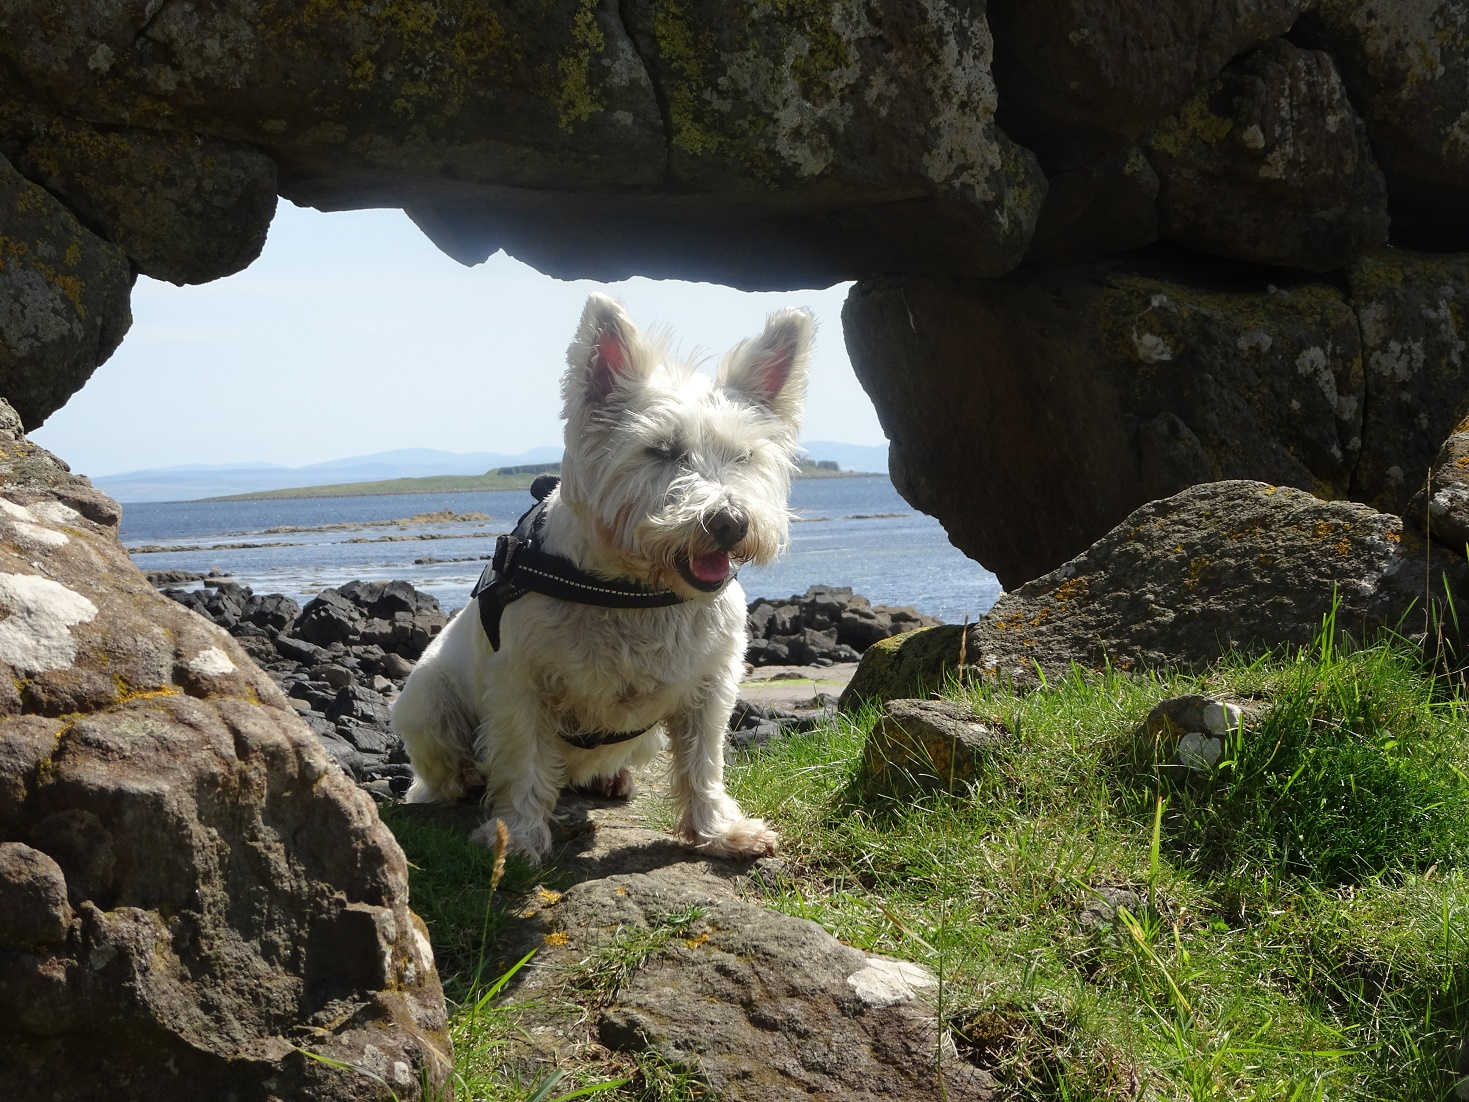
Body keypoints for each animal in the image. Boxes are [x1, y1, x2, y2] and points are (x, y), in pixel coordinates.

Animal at [393, 293, 816, 863]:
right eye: (661, 450)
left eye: (744, 455)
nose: (730, 522)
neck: (634, 591)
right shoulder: (519, 685)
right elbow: (523, 763)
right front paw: (517, 838)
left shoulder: (710, 686)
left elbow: (703, 762)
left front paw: (720, 831)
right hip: (426, 700)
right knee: (444, 770)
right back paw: (464, 783)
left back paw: (609, 778)